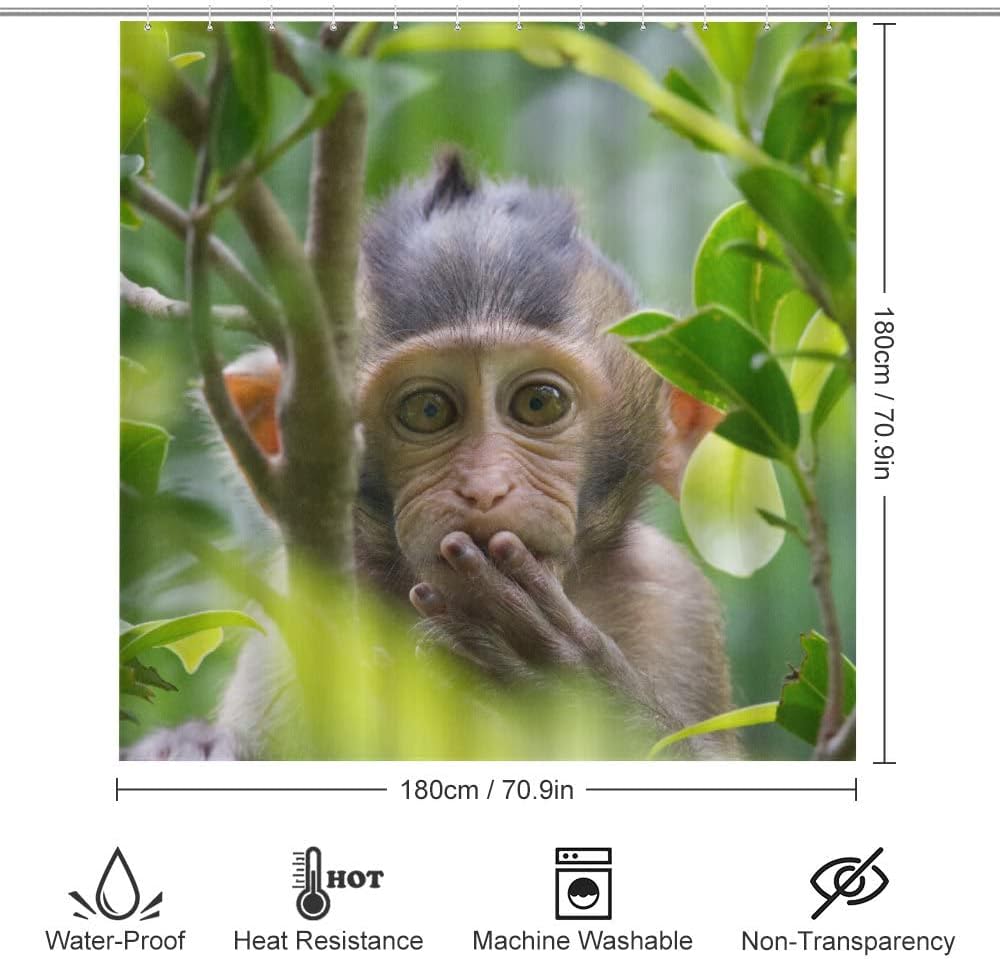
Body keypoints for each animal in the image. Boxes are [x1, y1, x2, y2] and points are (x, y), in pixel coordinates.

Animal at [124, 152, 736, 761]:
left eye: (539, 402)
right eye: (427, 410)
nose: (484, 486)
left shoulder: (670, 599)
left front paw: (568, 686)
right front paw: (189, 747)